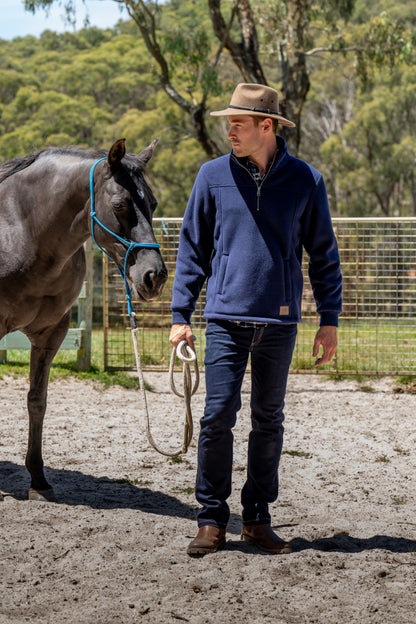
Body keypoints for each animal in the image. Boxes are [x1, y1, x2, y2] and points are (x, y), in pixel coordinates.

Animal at [1, 139, 169, 500]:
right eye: (119, 204)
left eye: (152, 202)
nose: (154, 276)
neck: (22, 229)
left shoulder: (52, 333)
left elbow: (37, 401)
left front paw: (38, 479)